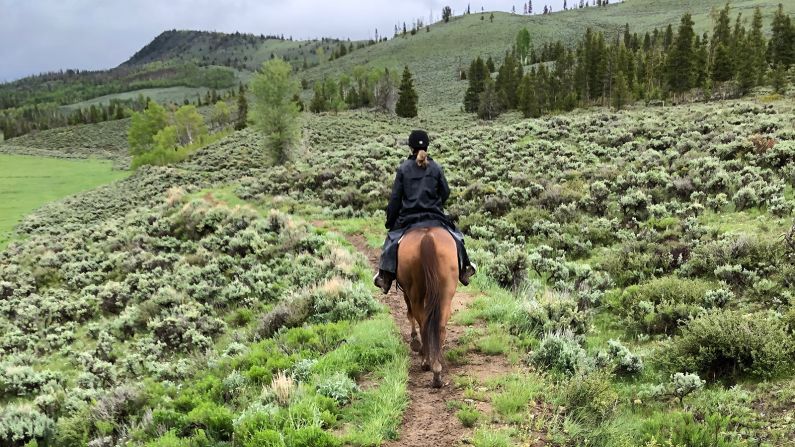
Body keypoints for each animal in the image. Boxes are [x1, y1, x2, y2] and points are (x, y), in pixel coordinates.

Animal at [398, 228, 460, 388]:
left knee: (423, 324)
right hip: (446, 293)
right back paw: (437, 368)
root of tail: (427, 237)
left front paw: (415, 342)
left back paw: (426, 361)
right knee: (440, 326)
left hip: (415, 292)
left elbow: (409, 314)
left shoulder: (407, 292)